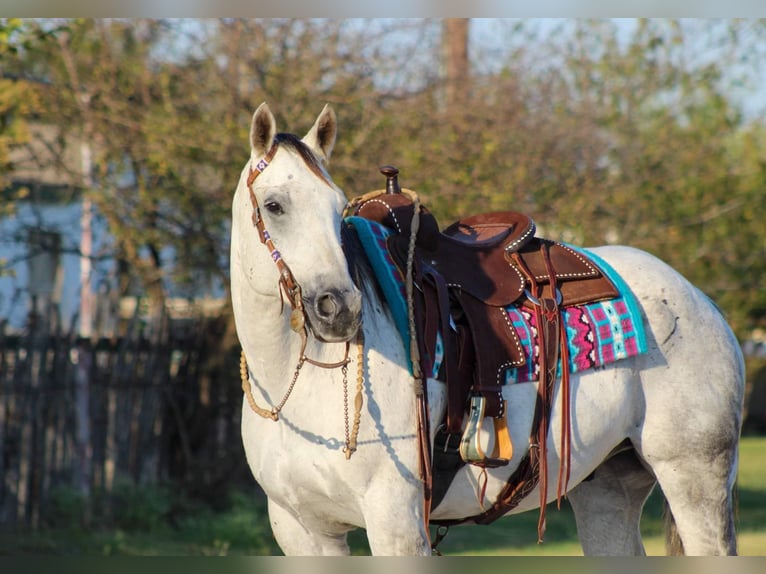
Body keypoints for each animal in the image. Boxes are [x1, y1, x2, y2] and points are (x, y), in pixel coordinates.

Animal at [230, 102, 745, 556]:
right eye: (274, 206)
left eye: (338, 210)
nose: (339, 309)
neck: (295, 384)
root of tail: (700, 301)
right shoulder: (303, 531)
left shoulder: (396, 523)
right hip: (607, 489)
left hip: (694, 478)